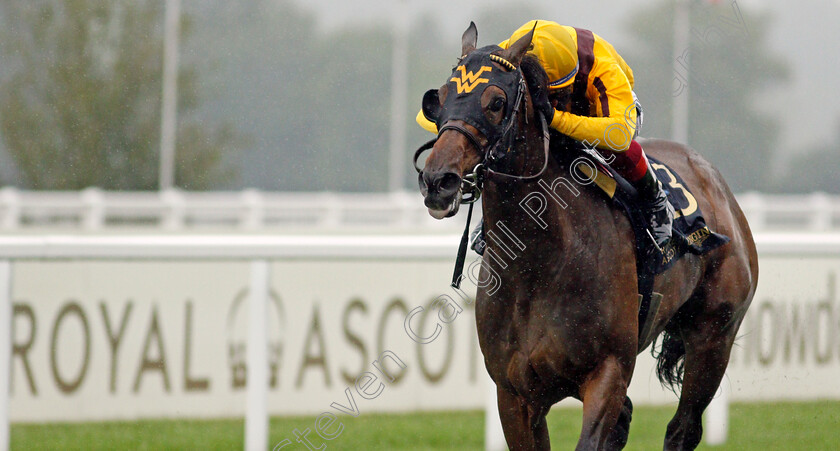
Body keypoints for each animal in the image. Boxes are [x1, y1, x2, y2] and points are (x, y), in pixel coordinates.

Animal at [416, 23, 756, 451]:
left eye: (495, 102)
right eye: (440, 99)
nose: (437, 181)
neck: (541, 264)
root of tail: (718, 184)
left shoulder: (608, 371)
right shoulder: (514, 392)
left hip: (713, 336)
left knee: (683, 428)